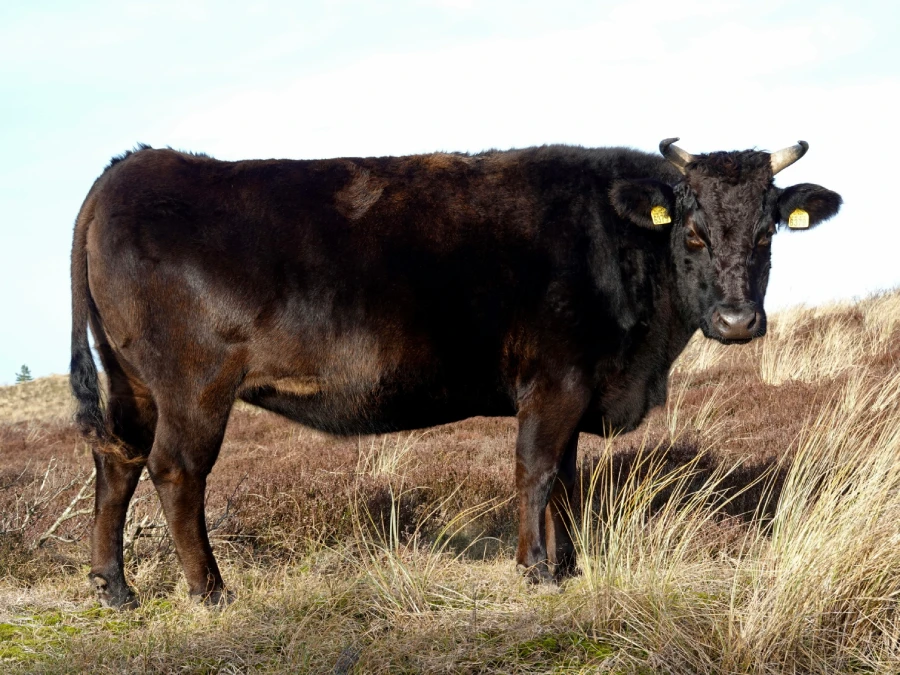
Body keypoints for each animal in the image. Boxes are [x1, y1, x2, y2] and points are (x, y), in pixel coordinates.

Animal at [70, 138, 841, 608]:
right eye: (693, 232)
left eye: (768, 232)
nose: (737, 321)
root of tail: (134, 166)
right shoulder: (556, 380)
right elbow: (536, 470)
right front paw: (536, 569)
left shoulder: (575, 387)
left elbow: (566, 479)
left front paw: (567, 565)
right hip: (194, 385)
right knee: (176, 470)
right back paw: (209, 589)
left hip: (132, 380)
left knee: (118, 458)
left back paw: (114, 585)